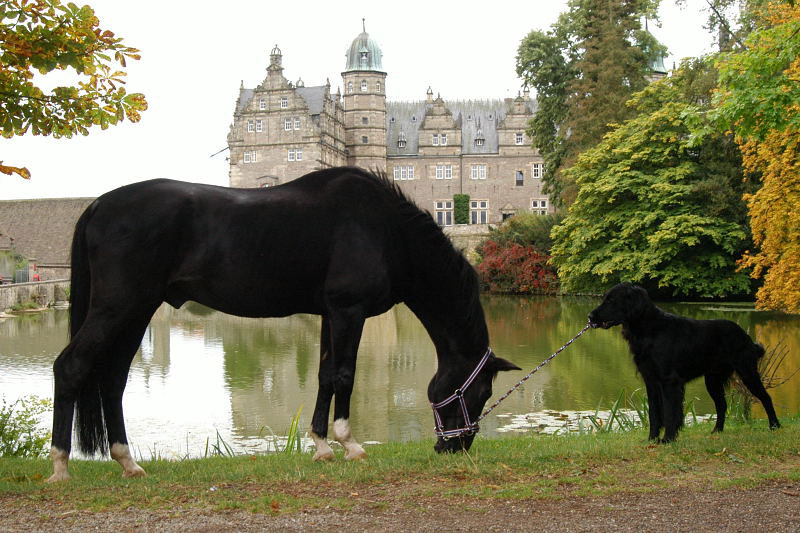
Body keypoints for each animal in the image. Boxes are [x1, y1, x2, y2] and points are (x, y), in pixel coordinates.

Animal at [47, 167, 520, 482]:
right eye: (480, 392)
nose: (454, 446)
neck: (384, 230)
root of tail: (98, 204)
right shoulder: (349, 312)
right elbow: (345, 375)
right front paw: (349, 444)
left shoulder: (331, 314)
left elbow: (325, 375)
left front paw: (322, 446)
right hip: (117, 307)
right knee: (71, 367)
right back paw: (60, 466)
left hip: (137, 311)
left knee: (112, 379)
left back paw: (127, 461)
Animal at [588, 282, 780, 440]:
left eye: (611, 300)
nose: (590, 316)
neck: (649, 330)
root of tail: (746, 337)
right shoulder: (651, 381)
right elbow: (654, 413)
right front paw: (652, 439)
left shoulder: (669, 381)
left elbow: (670, 412)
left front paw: (668, 439)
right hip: (712, 379)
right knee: (722, 405)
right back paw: (717, 431)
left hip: (747, 372)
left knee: (766, 397)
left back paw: (774, 426)